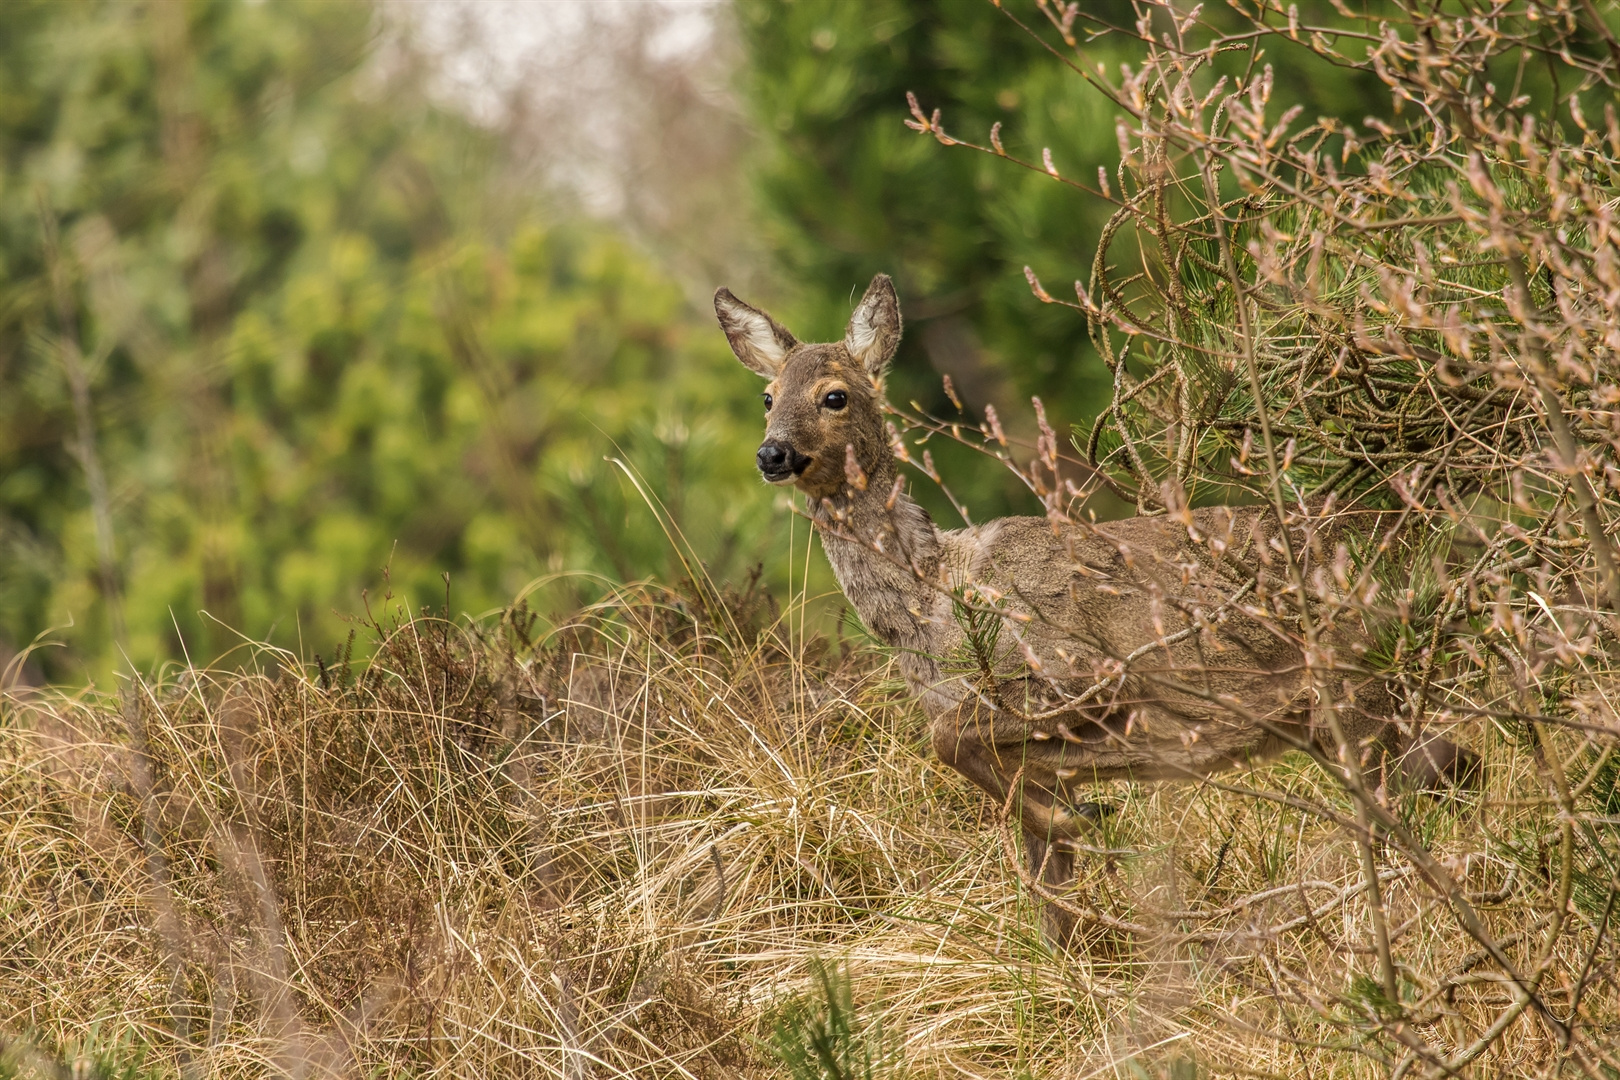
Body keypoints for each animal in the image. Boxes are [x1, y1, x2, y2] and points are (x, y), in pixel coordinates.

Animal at [716, 276, 1477, 945]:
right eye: (766, 395)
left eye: (835, 395)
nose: (772, 453)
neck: (934, 604)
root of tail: (1408, 535)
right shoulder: (1028, 754)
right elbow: (1045, 892)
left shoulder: (1081, 669)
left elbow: (948, 741)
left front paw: (1083, 819)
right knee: (1458, 768)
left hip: (1354, 688)